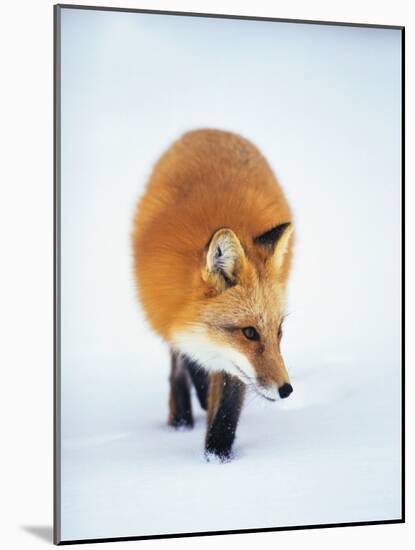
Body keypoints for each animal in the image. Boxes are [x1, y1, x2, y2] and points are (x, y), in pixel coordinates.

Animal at [132, 129, 294, 462]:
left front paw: (217, 459)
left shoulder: (231, 363)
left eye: (279, 331)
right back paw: (181, 419)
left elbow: (226, 412)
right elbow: (189, 363)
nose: (286, 390)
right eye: (249, 332)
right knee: (177, 369)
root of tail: (208, 130)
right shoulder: (172, 316)